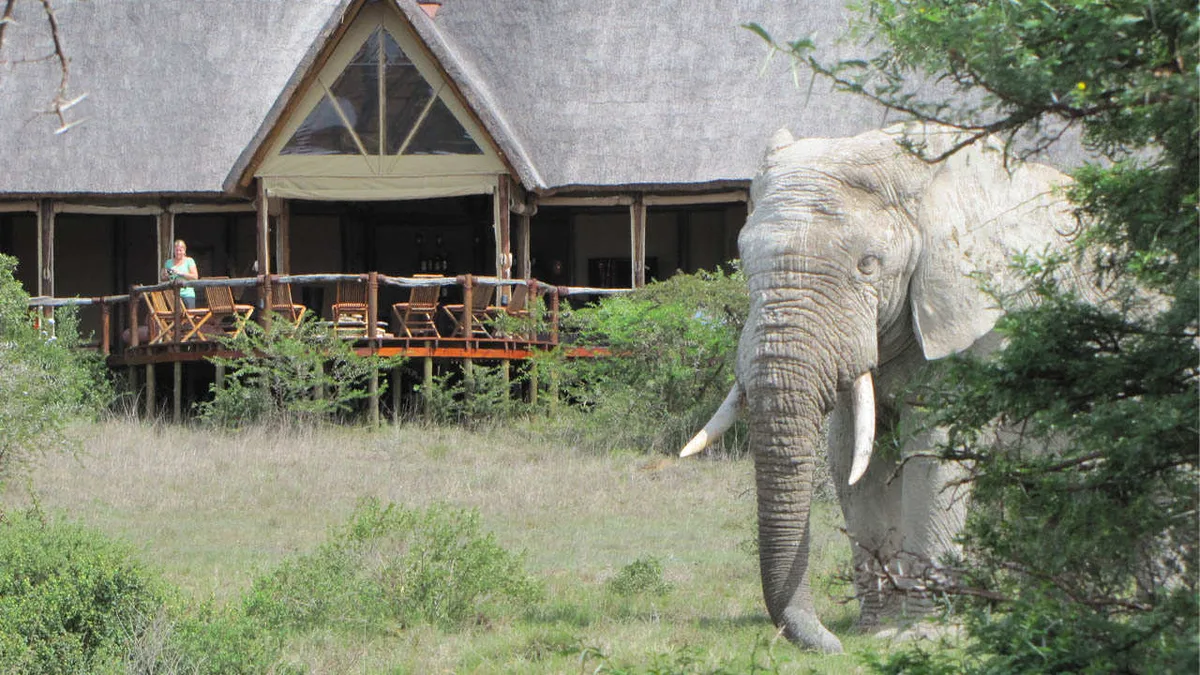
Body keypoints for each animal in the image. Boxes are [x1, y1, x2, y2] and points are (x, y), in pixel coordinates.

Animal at [681, 123, 1078, 652]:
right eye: (742, 261)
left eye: (869, 264)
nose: (831, 643)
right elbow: (851, 456)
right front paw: (876, 630)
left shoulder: (980, 319)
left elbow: (934, 451)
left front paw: (922, 635)